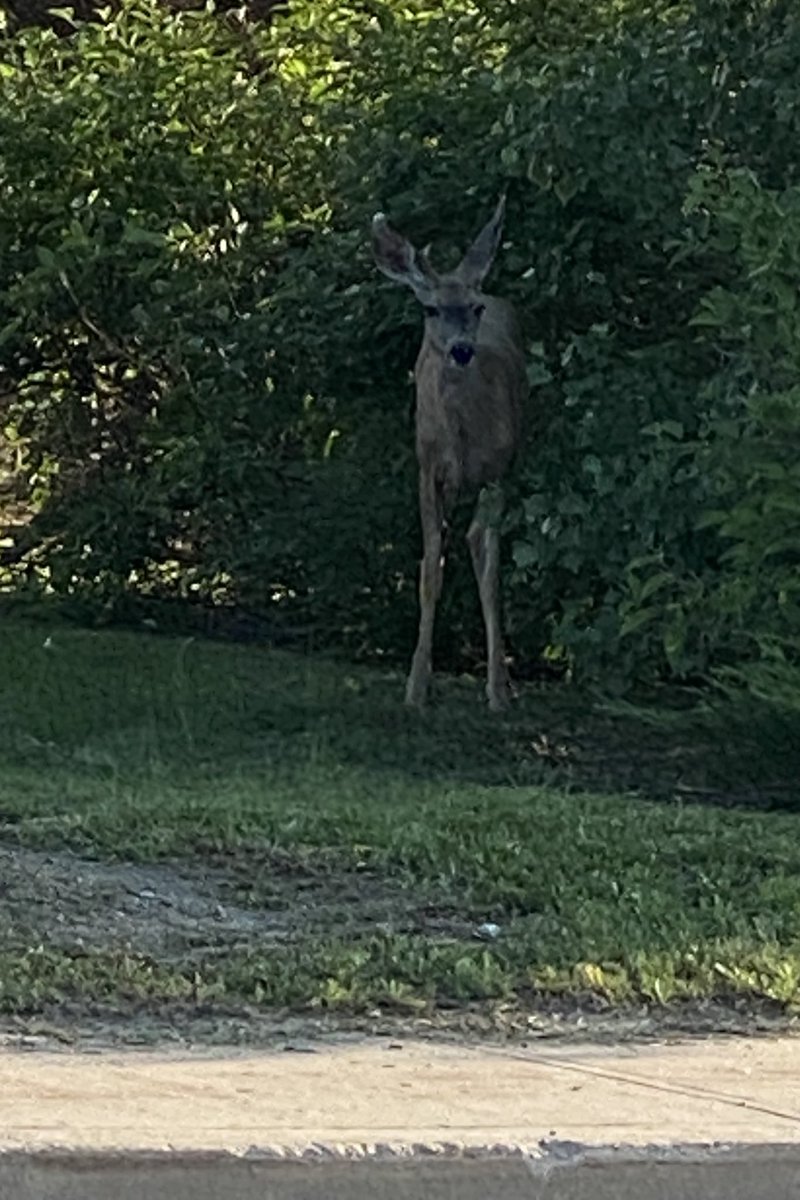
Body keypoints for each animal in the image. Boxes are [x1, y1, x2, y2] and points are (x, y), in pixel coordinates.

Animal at [371, 195, 527, 711]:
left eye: (474, 308)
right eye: (430, 309)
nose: (461, 350)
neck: (461, 441)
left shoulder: (500, 468)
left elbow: (489, 567)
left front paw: (498, 690)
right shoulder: (426, 469)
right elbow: (430, 568)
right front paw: (417, 685)